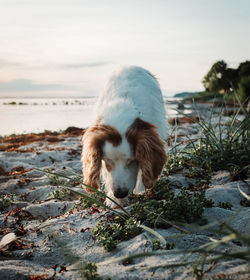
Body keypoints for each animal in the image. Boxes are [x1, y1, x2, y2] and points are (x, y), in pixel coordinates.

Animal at [82, 65, 168, 206]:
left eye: (132, 161)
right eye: (107, 161)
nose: (119, 193)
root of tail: (130, 66)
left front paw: (141, 190)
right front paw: (115, 201)